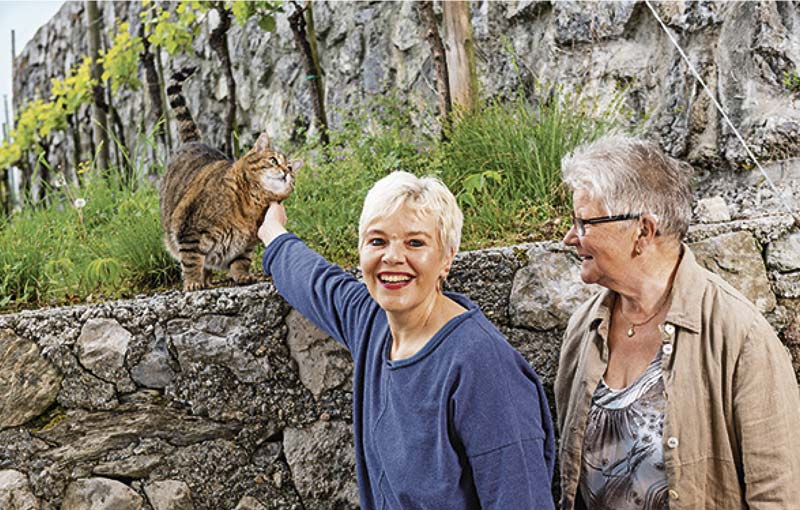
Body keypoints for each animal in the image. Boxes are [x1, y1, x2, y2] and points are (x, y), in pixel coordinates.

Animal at [161, 67, 302, 290]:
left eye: (290, 168)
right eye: (273, 160)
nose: (286, 172)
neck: (252, 204)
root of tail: (194, 141)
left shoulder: (247, 244)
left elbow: (241, 261)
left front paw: (242, 276)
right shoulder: (190, 230)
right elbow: (191, 260)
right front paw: (192, 282)